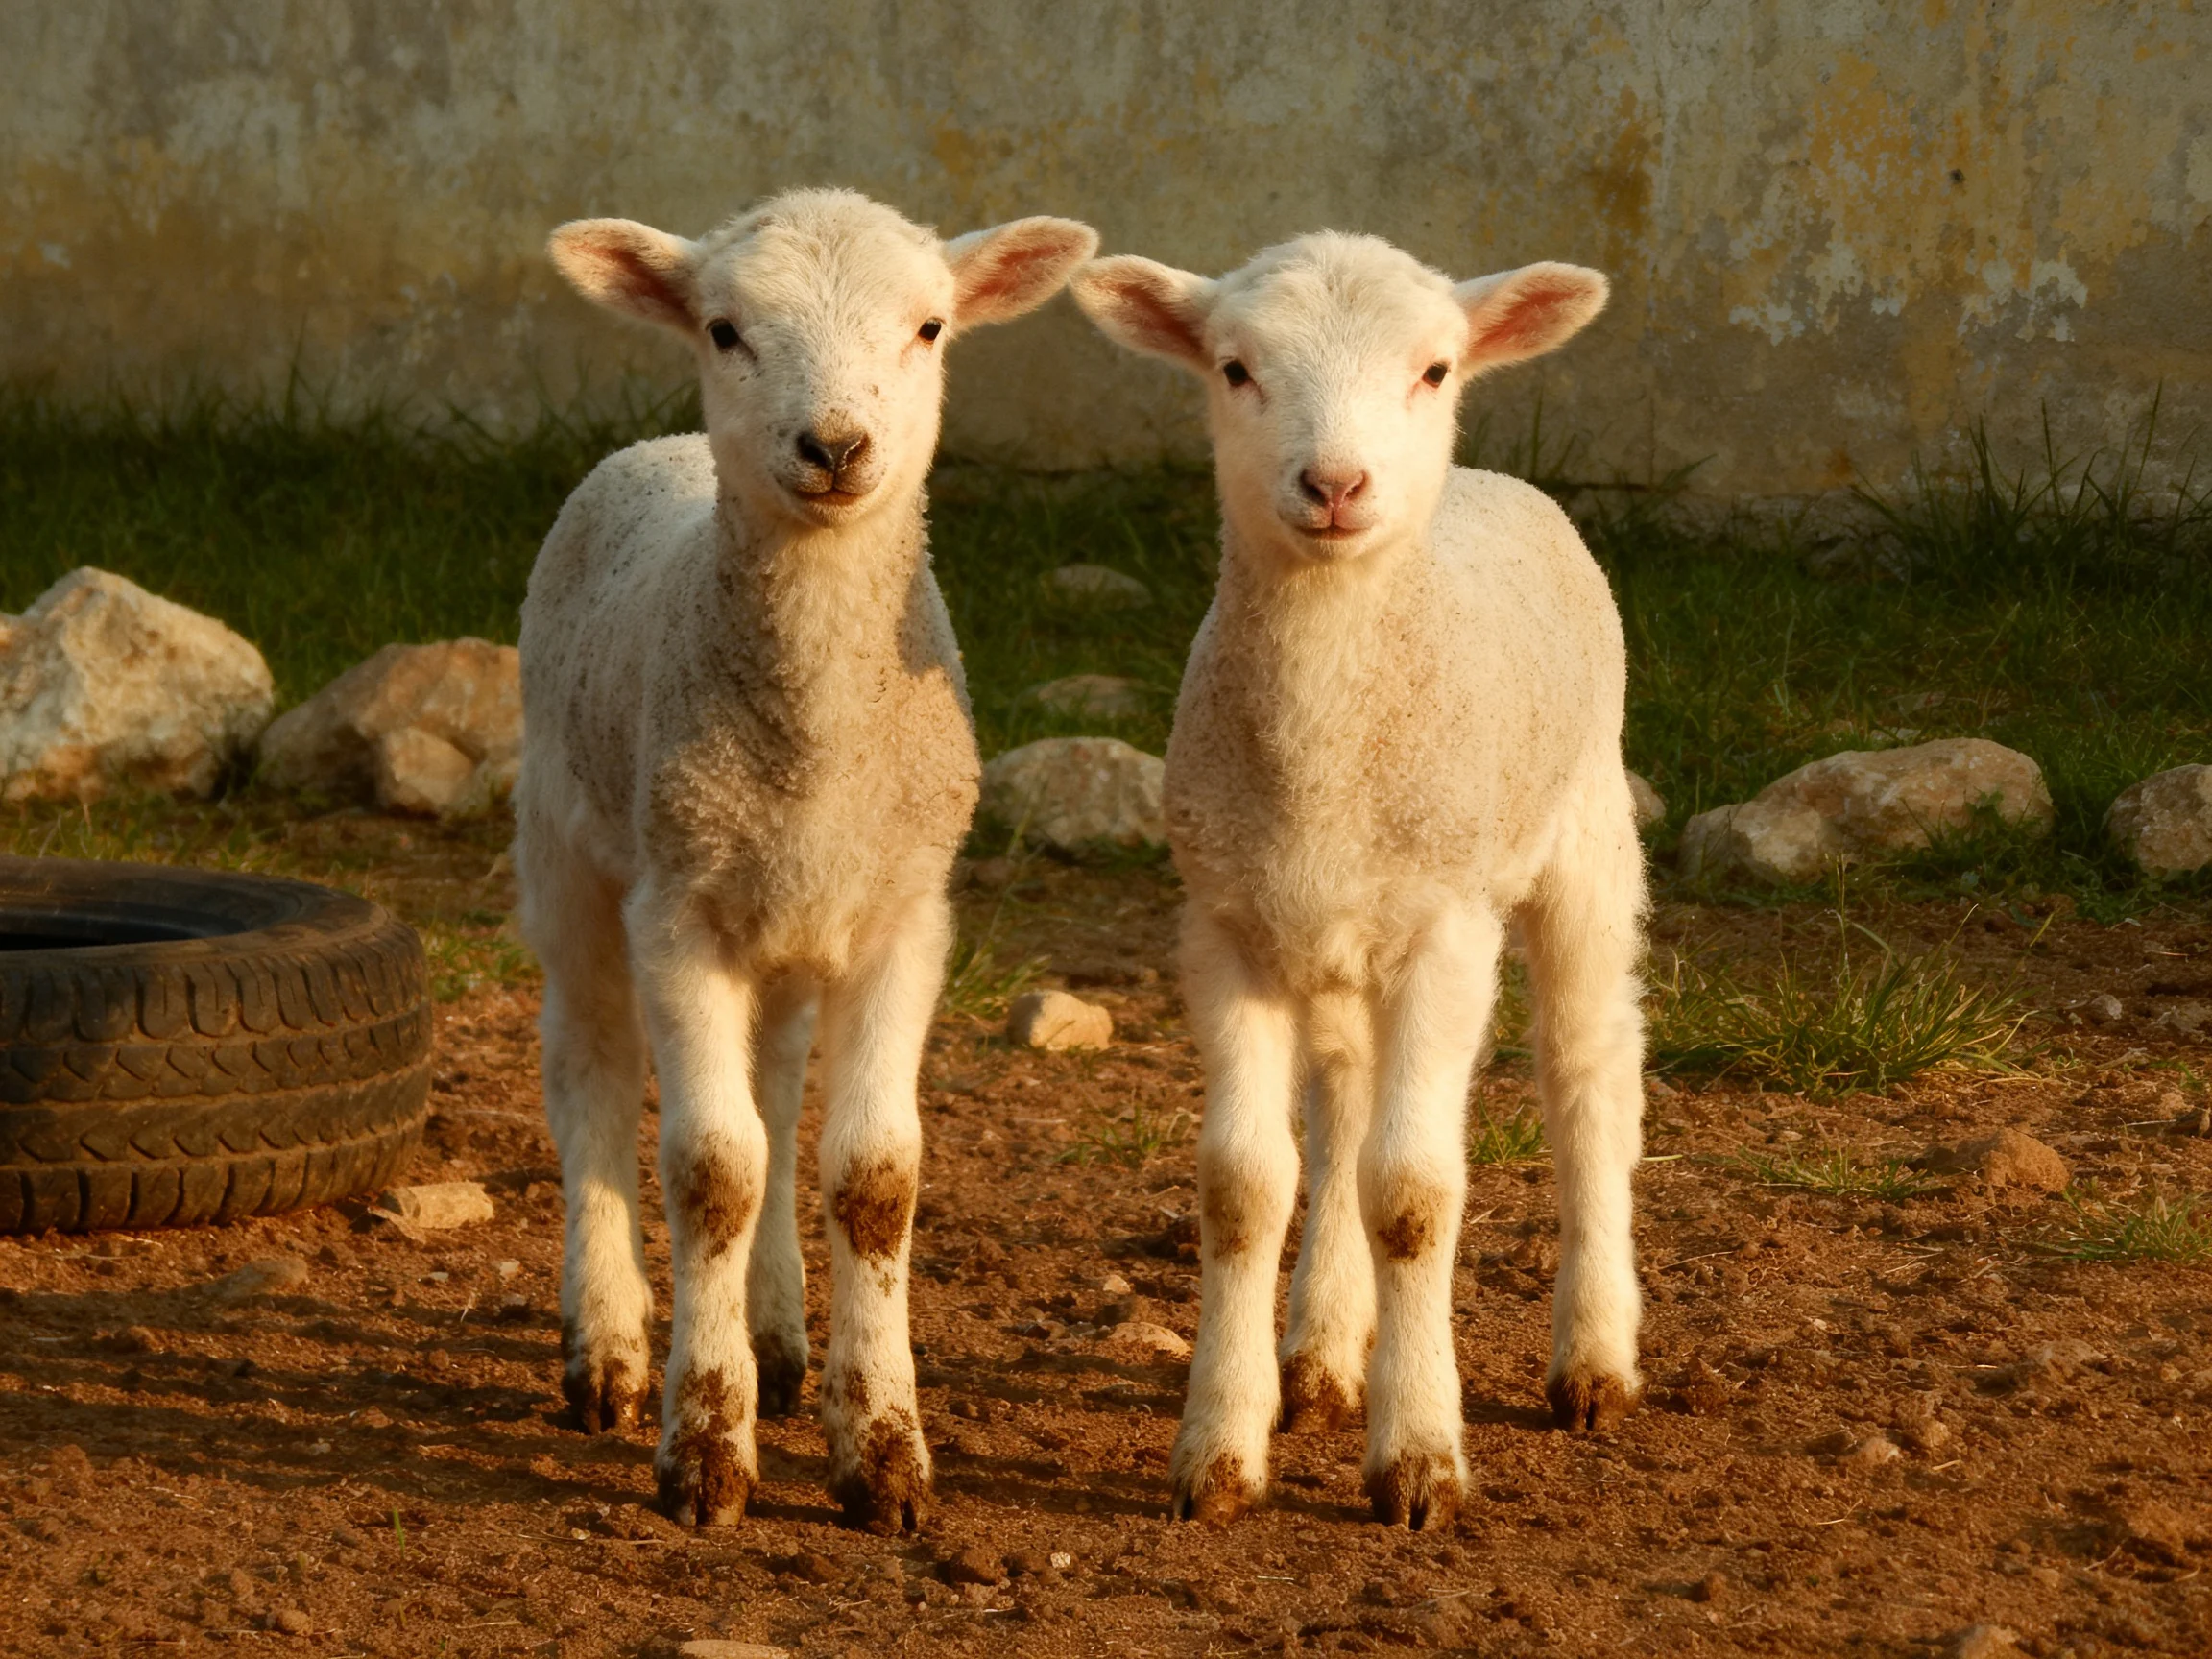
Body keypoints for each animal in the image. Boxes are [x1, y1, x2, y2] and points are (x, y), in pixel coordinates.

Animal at [516, 188, 1097, 1532]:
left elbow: (872, 1174)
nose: (832, 446)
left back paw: (778, 1341)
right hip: (569, 850)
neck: (818, 735)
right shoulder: (677, 913)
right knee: (591, 1078)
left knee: (776, 1091)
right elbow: (710, 1170)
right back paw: (608, 1349)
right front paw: (704, 1451)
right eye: (725, 329)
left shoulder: (903, 915)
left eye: (930, 327)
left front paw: (881, 1453)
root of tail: (655, 449)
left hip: (781, 914)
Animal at [1070, 235, 1644, 1530]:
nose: (1334, 485)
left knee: (1588, 1076)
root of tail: (1492, 481)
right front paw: (1219, 1451)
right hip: (1331, 935)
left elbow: (1415, 1195)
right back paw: (1323, 1355)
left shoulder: (1445, 932)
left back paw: (1593, 1359)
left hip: (1585, 833)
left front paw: (1419, 1458)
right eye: (1235, 368)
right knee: (1339, 1109)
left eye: (1433, 370)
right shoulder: (1224, 926)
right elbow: (1244, 1187)